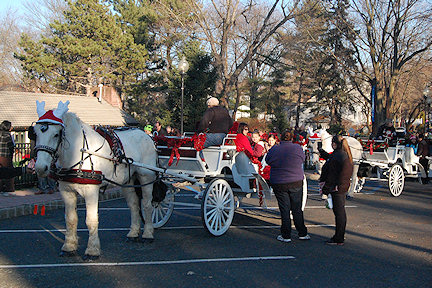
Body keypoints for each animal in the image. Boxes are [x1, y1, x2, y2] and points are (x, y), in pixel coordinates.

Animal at [33, 100, 158, 258]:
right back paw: (133, 233)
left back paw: (148, 233)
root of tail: (148, 136)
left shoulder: (91, 191)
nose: (40, 168)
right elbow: (70, 219)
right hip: (127, 181)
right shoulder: (66, 191)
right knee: (134, 205)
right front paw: (69, 247)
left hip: (146, 177)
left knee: (147, 204)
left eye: (56, 134)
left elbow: (91, 220)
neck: (78, 153)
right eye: (35, 133)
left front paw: (92, 250)